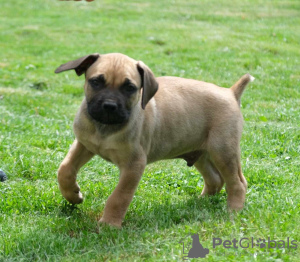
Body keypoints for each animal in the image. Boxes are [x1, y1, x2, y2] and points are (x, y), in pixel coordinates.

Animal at [54, 53, 253, 227]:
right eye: (96, 82)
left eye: (129, 88)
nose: (109, 106)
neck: (105, 129)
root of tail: (231, 92)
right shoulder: (84, 144)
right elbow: (64, 169)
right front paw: (73, 195)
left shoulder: (134, 165)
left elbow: (119, 196)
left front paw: (109, 224)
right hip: (201, 152)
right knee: (215, 179)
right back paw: (200, 202)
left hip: (223, 151)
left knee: (238, 183)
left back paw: (233, 211)